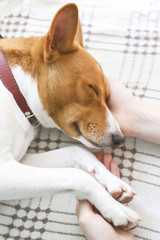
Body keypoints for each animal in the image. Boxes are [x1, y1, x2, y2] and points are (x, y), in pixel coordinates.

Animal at [0, 3, 140, 229]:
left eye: (108, 97)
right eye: (92, 88)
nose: (120, 139)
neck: (15, 89)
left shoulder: (19, 160)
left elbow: (76, 151)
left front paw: (113, 181)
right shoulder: (5, 171)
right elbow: (77, 176)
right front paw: (116, 209)